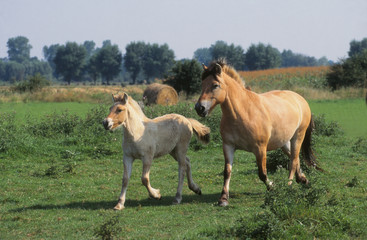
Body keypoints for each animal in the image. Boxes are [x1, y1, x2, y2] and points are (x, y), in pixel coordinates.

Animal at [196, 60, 322, 206]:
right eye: (202, 84)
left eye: (215, 85)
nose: (199, 108)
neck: (243, 112)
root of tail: (301, 99)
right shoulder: (228, 146)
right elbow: (227, 172)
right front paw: (223, 199)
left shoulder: (260, 148)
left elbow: (262, 173)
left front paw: (272, 187)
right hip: (284, 142)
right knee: (295, 158)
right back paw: (302, 179)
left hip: (298, 137)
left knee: (293, 161)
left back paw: (288, 185)